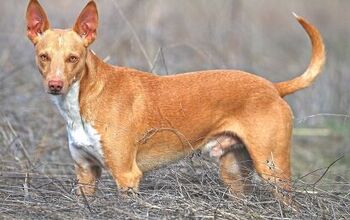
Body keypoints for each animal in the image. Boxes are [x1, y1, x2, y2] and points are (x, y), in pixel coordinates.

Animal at [26, 0, 326, 200]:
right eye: (44, 56)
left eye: (73, 58)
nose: (55, 85)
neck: (83, 99)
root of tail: (273, 86)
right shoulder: (86, 175)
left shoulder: (127, 176)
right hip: (234, 173)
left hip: (273, 170)